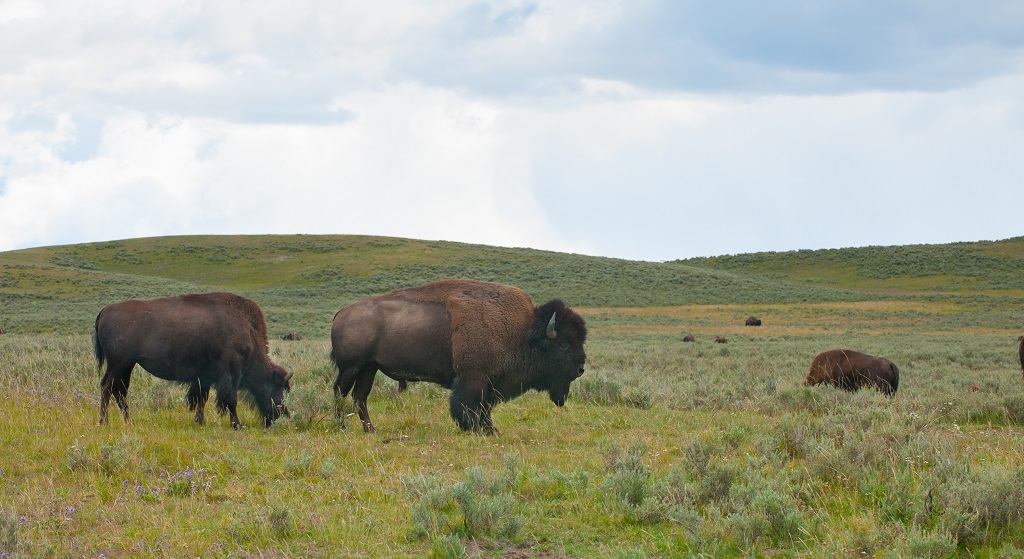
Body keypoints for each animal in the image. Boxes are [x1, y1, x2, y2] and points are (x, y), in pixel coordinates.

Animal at [94, 292, 293, 428]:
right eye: (280, 388)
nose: (283, 415)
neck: (248, 331)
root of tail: (105, 310)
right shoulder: (231, 374)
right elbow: (230, 399)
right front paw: (236, 424)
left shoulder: (204, 377)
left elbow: (201, 398)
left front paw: (200, 421)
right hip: (118, 364)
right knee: (107, 387)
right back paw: (104, 422)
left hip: (127, 365)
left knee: (119, 391)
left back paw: (129, 421)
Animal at [330, 279, 587, 433]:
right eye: (563, 345)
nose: (581, 369)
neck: (522, 332)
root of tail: (342, 312)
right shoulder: (473, 378)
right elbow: (469, 406)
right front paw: (475, 429)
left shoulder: (489, 383)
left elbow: (485, 407)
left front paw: (490, 430)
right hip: (351, 367)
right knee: (340, 392)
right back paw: (342, 427)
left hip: (369, 368)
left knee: (359, 396)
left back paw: (370, 430)